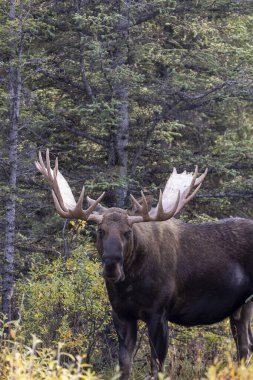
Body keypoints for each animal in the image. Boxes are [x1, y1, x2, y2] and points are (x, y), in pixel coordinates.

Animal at [35, 150, 253, 378]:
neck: (130, 284)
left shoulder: (158, 312)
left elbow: (156, 366)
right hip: (242, 306)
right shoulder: (121, 314)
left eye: (127, 232)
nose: (111, 265)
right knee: (245, 348)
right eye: (100, 230)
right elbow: (124, 366)